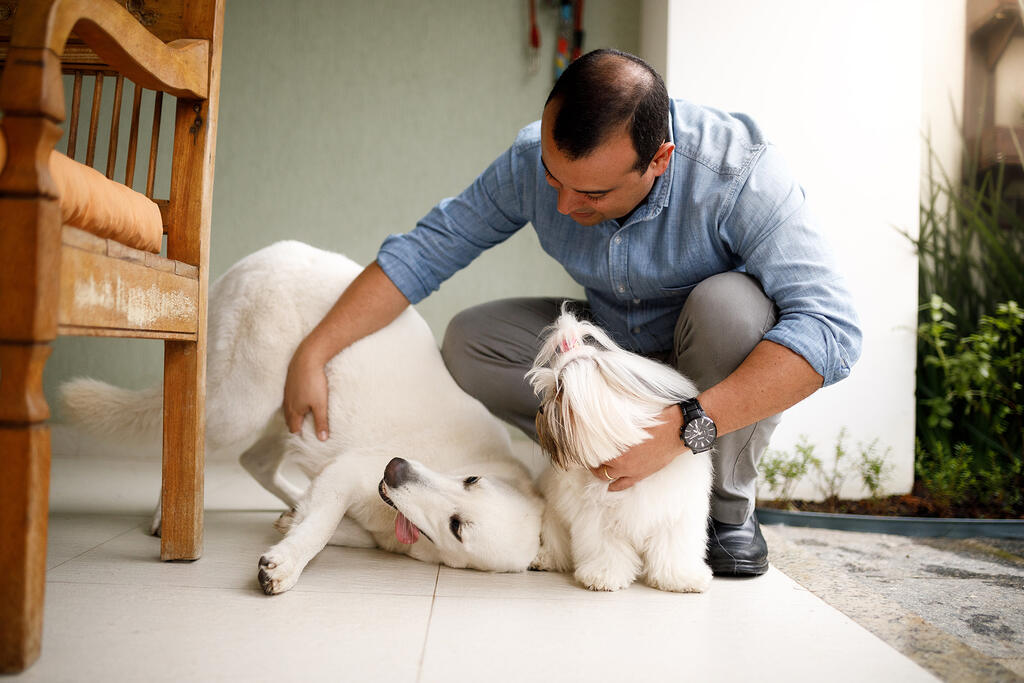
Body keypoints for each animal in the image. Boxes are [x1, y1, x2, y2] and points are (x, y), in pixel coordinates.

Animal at [528, 311, 712, 593]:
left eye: (560, 390)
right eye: (550, 390)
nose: (540, 409)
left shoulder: (676, 514)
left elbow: (673, 549)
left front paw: (681, 578)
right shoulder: (597, 518)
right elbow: (606, 549)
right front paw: (603, 577)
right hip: (554, 517)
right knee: (554, 542)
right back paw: (544, 559)